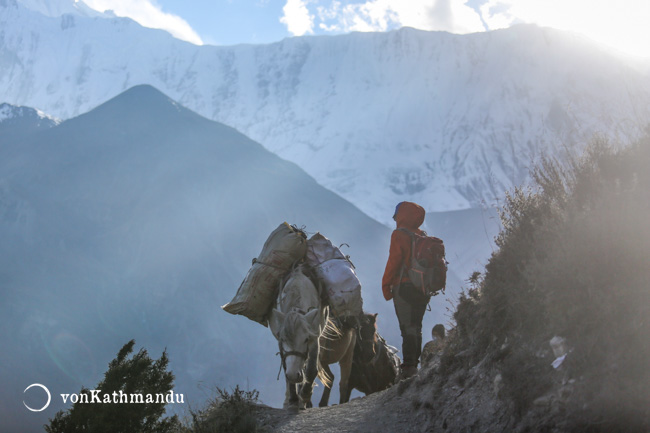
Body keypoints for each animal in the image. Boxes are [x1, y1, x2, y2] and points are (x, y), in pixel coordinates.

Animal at [268, 264, 330, 408]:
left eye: (306, 339)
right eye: (283, 339)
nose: (293, 375)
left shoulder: (314, 337)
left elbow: (311, 369)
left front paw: (305, 394)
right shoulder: (279, 341)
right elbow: (286, 365)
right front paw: (293, 398)